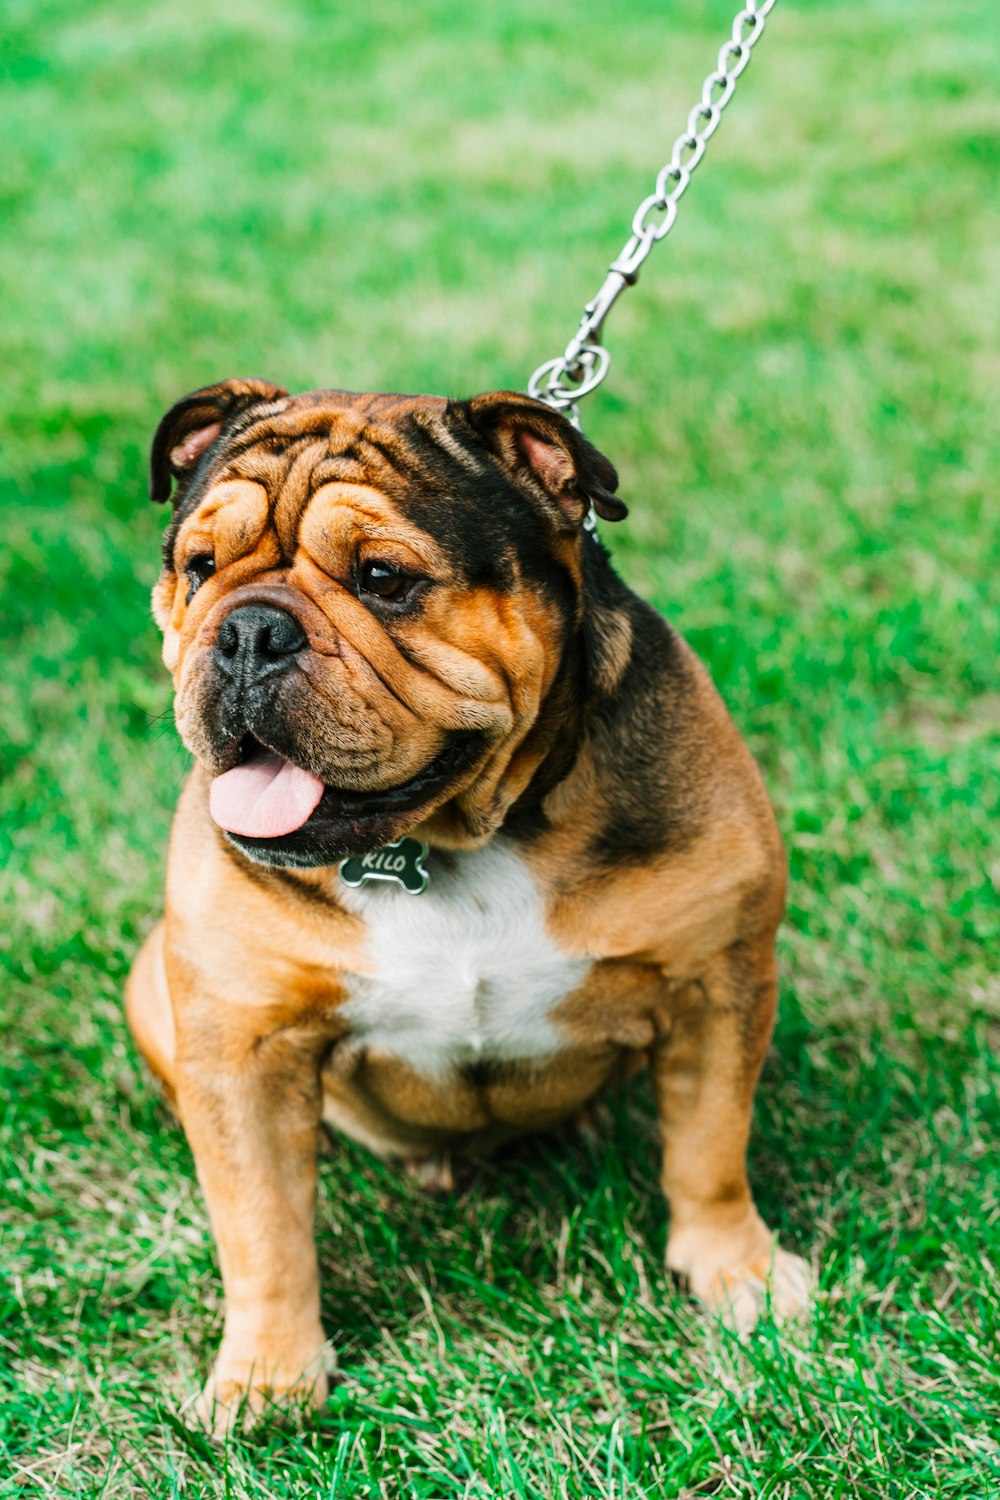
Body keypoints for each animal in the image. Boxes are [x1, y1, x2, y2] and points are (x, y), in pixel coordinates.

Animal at [125, 375, 815, 1428]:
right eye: (199, 569)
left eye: (384, 578)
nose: (248, 631)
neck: (448, 842)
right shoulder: (245, 1048)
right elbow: (263, 1227)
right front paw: (269, 1376)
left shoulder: (715, 984)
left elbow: (708, 1149)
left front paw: (739, 1273)